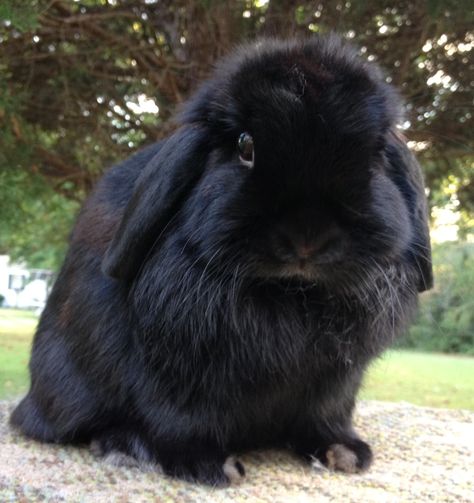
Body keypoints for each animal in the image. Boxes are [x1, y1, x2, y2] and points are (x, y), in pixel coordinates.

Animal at [12, 34, 434, 484]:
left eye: (374, 155)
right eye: (245, 147)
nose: (308, 238)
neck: (292, 293)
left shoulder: (336, 385)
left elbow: (325, 418)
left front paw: (345, 453)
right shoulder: (176, 377)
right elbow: (177, 420)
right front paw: (212, 466)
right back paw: (124, 447)